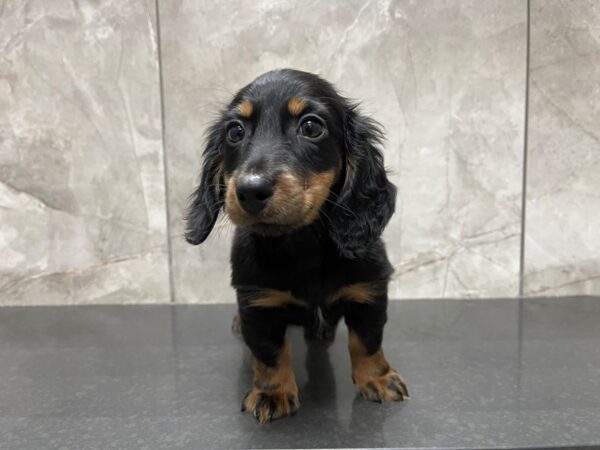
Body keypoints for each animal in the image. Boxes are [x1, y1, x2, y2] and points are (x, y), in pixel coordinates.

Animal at [185, 68, 408, 424]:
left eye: (311, 127)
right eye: (235, 131)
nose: (250, 190)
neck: (304, 246)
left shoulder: (368, 292)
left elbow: (367, 341)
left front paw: (378, 379)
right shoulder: (258, 303)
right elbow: (270, 353)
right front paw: (272, 393)